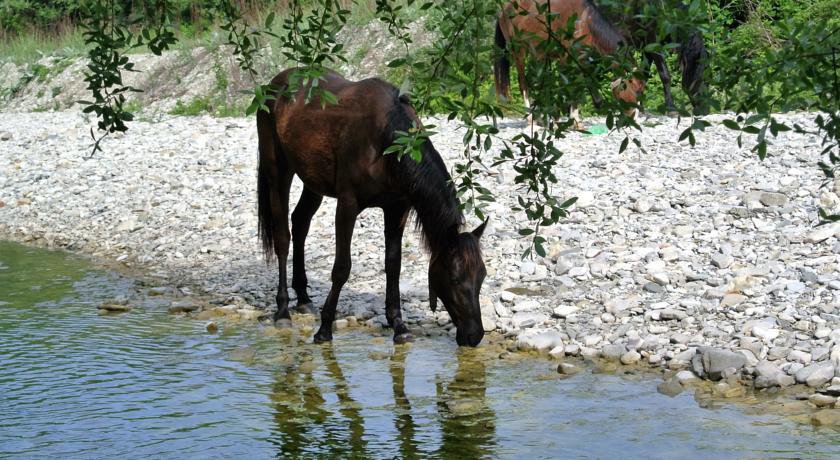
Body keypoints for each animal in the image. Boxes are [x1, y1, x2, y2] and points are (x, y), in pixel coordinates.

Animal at [260, 68, 488, 346]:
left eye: (482, 276)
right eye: (454, 278)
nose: (474, 335)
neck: (386, 141)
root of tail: (275, 83)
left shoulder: (397, 209)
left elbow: (393, 266)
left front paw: (398, 325)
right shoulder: (347, 205)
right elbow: (341, 268)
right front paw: (324, 329)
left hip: (312, 182)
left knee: (300, 222)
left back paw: (303, 298)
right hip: (278, 173)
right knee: (283, 237)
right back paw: (282, 310)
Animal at [492, 0, 644, 126]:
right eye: (635, 89)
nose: (633, 117)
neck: (586, 21)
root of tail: (504, 10)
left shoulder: (580, 59)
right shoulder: (567, 59)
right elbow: (571, 86)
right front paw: (573, 120)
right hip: (518, 51)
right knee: (523, 83)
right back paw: (530, 118)